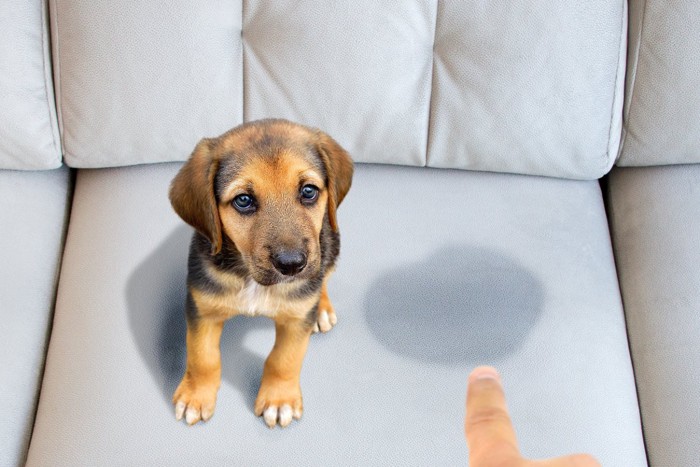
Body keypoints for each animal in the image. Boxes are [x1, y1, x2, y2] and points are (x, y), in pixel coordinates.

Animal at [169, 119, 352, 428]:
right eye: (243, 200)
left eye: (308, 191)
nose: (292, 265)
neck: (252, 279)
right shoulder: (202, 309)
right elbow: (202, 356)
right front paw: (196, 395)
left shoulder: (296, 319)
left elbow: (284, 359)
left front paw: (279, 400)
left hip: (330, 243)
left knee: (324, 274)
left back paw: (322, 309)